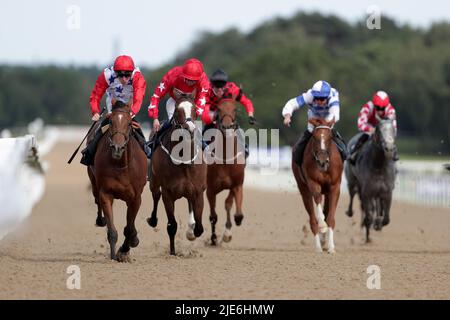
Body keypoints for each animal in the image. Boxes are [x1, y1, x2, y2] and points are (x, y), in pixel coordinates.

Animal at [89, 101, 149, 262]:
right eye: (110, 121)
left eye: (129, 123)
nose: (117, 147)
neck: (120, 164)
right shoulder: (106, 193)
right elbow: (112, 231)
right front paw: (113, 255)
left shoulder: (136, 198)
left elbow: (129, 228)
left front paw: (125, 249)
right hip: (94, 183)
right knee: (96, 200)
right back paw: (100, 220)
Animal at [146, 94, 206, 256]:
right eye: (177, 111)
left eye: (194, 109)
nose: (190, 128)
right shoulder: (168, 193)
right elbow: (171, 225)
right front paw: (173, 252)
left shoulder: (198, 191)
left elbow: (199, 227)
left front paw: (192, 231)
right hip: (154, 181)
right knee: (155, 195)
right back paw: (152, 220)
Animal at [205, 100, 246, 245]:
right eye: (218, 108)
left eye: (235, 109)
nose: (227, 126)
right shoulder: (210, 189)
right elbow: (213, 216)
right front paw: (213, 238)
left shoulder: (237, 185)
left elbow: (235, 211)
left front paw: (227, 233)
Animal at [290, 119, 342, 254]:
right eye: (314, 137)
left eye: (330, 137)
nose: (322, 161)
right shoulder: (313, 183)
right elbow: (318, 200)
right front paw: (322, 225)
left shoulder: (334, 187)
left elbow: (330, 218)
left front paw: (331, 247)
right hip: (303, 190)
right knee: (312, 219)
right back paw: (318, 247)